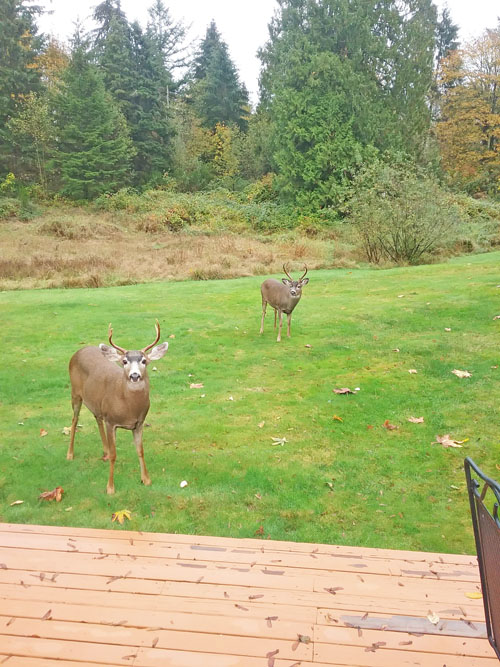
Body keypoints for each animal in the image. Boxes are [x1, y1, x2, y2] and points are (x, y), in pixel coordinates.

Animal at [67, 321, 169, 494]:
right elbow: (115, 455)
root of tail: (79, 351)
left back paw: (105, 452)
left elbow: (140, 450)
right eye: (124, 361)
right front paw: (110, 488)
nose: (134, 375)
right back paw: (70, 454)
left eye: (144, 361)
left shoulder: (139, 423)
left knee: (96, 417)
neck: (129, 408)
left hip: (96, 402)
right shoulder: (111, 421)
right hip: (75, 393)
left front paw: (146, 480)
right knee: (74, 420)